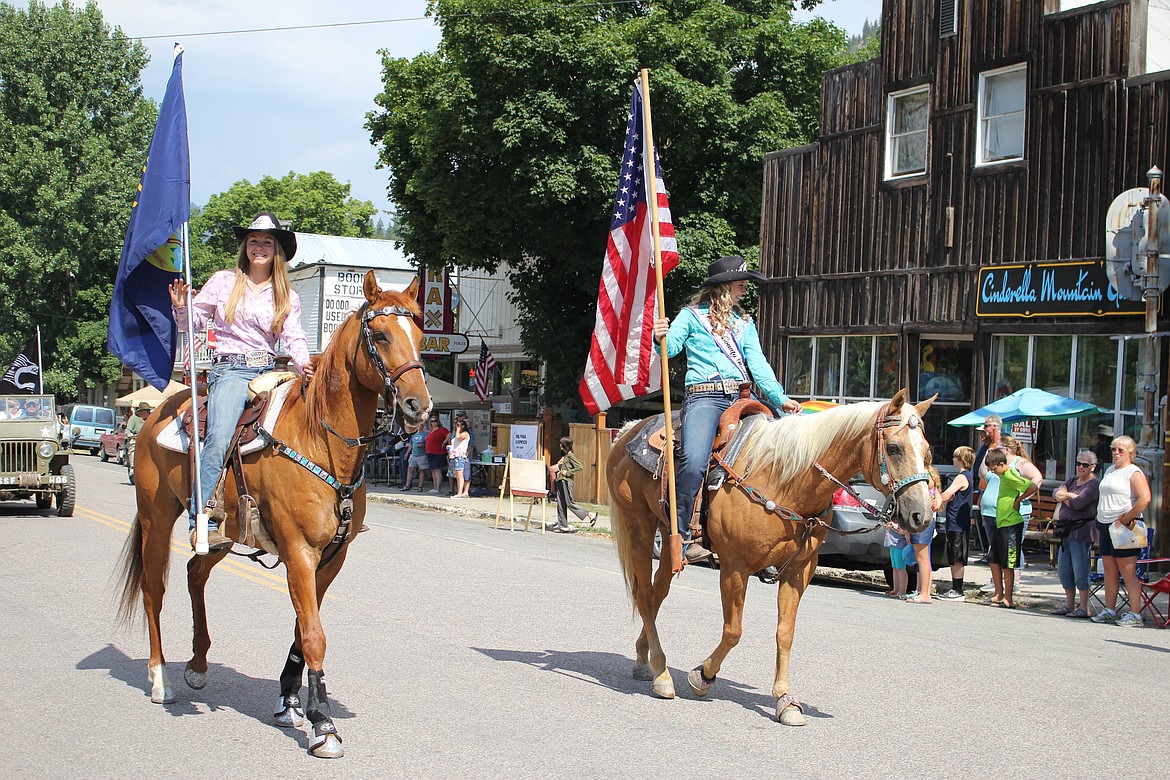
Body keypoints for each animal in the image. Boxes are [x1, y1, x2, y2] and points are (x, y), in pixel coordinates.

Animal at [115, 273, 430, 757]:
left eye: (420, 335)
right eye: (379, 335)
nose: (419, 405)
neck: (321, 439)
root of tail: (159, 412)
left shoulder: (331, 557)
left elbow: (303, 630)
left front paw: (290, 701)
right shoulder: (299, 552)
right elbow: (314, 634)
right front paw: (323, 724)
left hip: (224, 533)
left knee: (194, 575)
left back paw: (198, 664)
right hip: (156, 518)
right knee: (155, 590)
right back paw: (159, 679)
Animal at [608, 390, 935, 725]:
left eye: (927, 451)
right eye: (894, 448)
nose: (921, 515)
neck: (784, 479)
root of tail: (629, 431)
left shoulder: (799, 572)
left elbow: (785, 633)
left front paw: (785, 700)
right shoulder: (735, 568)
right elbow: (734, 630)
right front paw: (703, 676)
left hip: (667, 536)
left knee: (657, 593)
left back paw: (644, 660)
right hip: (640, 528)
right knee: (644, 596)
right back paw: (662, 674)